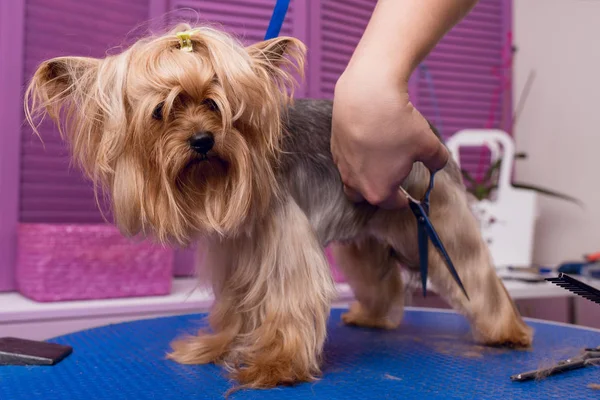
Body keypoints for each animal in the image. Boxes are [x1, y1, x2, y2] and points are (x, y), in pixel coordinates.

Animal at [24, 23, 528, 390]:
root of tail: (427, 129)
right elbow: (234, 308)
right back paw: (373, 317)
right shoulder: (237, 253)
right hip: (364, 235)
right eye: (160, 111)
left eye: (216, 104)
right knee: (378, 277)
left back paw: (506, 331)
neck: (220, 183)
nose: (202, 140)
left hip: (433, 215)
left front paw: (275, 367)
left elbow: (289, 302)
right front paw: (215, 347)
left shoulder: (285, 245)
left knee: (474, 272)